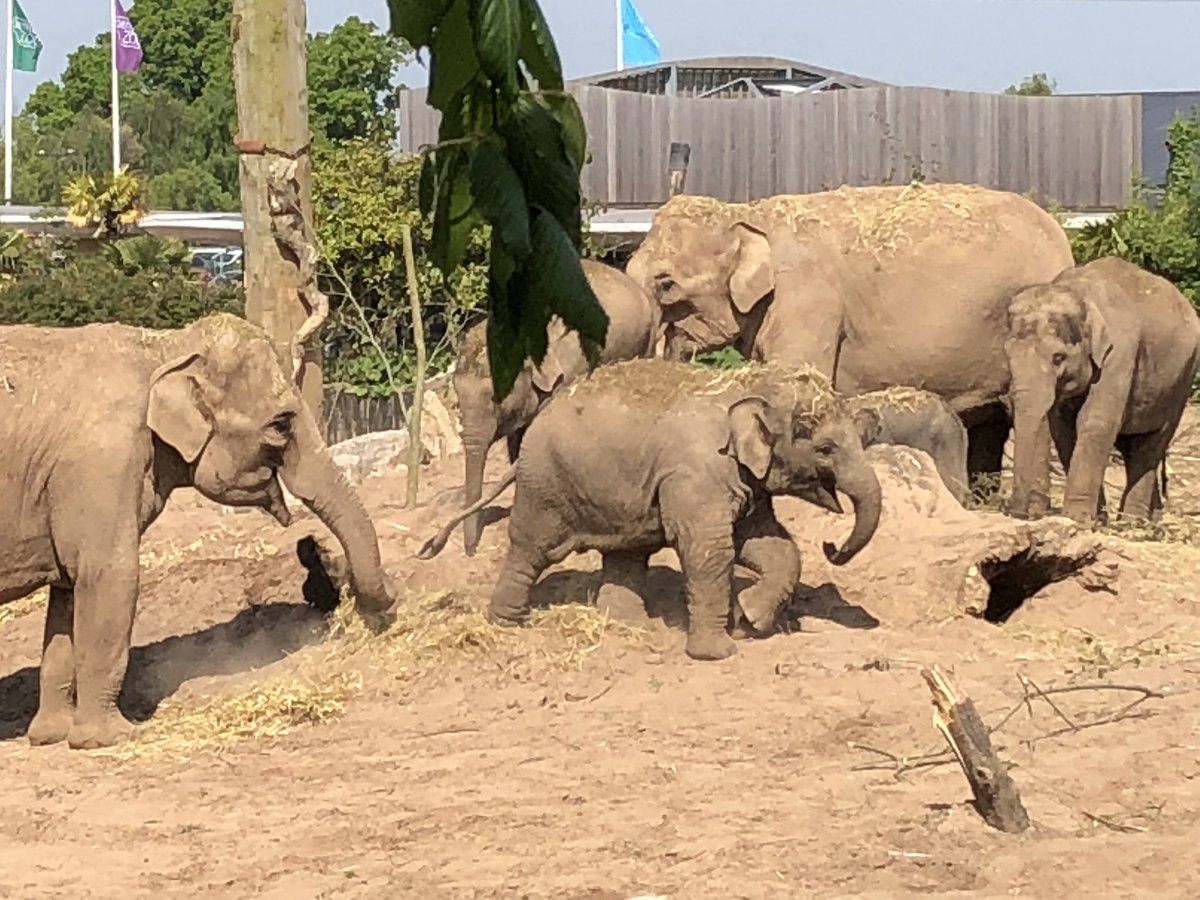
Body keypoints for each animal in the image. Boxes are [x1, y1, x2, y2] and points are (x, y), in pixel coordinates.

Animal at [0, 313, 397, 750]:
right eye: (280, 424)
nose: (387, 601)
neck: (162, 346)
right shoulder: (103, 464)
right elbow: (110, 577)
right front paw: (110, 738)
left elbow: (68, 593)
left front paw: (49, 736)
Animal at [452, 258, 660, 556]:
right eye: (457, 397)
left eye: (495, 398)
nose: (471, 551)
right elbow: (519, 443)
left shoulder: (571, 370)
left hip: (647, 340)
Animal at [485, 358, 883, 661]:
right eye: (826, 448)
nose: (832, 547)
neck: (747, 386)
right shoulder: (697, 476)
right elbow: (711, 550)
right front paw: (719, 651)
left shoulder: (743, 480)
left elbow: (768, 543)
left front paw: (750, 617)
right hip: (544, 483)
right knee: (531, 547)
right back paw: (504, 623)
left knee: (627, 552)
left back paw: (629, 625)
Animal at [1004, 256, 1200, 524]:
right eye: (1008, 355)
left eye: (1058, 357)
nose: (1018, 514)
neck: (1078, 293)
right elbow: (1064, 429)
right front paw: (1096, 519)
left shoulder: (1119, 352)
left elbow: (1094, 422)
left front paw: (1077, 519)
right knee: (1132, 446)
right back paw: (1150, 520)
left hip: (1182, 380)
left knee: (1153, 442)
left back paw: (1131, 522)